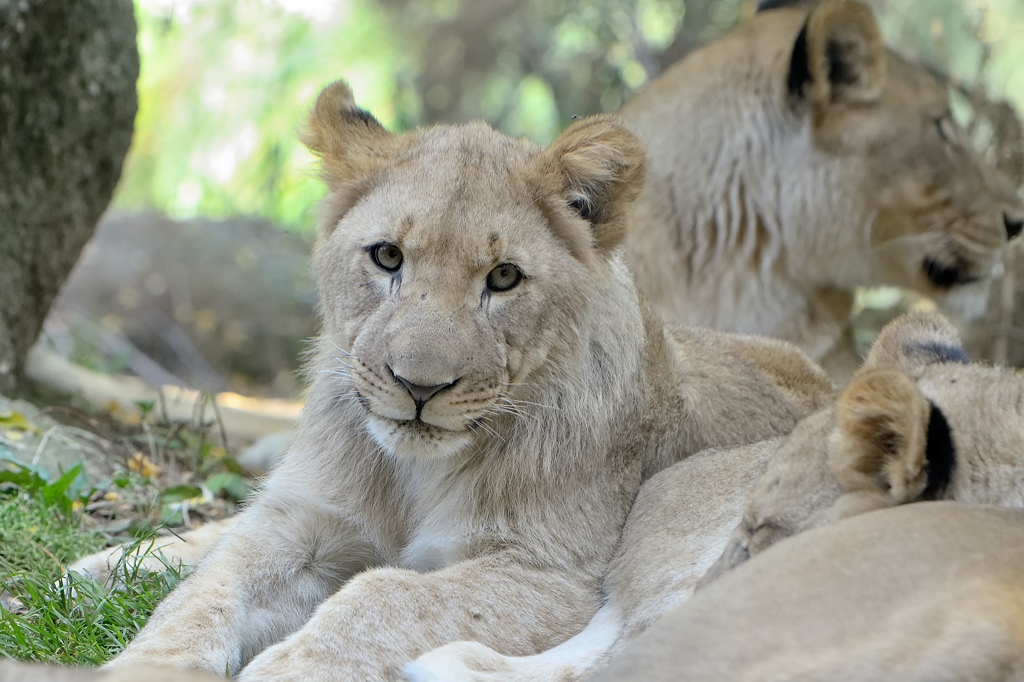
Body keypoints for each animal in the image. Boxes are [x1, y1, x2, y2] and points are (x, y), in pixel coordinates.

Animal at [101, 80, 832, 681]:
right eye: (387, 256)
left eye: (503, 277)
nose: (419, 387)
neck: (414, 475)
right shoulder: (305, 519)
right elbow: (206, 590)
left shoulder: (555, 574)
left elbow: (384, 594)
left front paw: (293, 668)